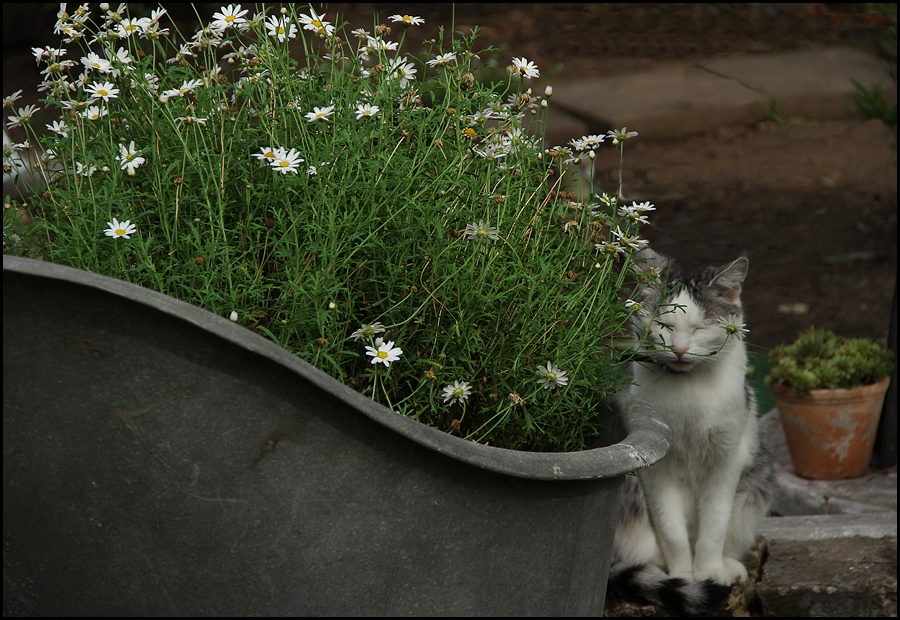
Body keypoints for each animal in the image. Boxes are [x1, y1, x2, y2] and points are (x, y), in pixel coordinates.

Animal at [612, 248, 772, 616]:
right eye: (664, 326)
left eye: (700, 327)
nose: (681, 349)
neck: (689, 388)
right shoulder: (654, 467)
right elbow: (671, 530)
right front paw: (685, 576)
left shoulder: (726, 459)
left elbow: (714, 523)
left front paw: (709, 570)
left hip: (758, 475)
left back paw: (729, 566)